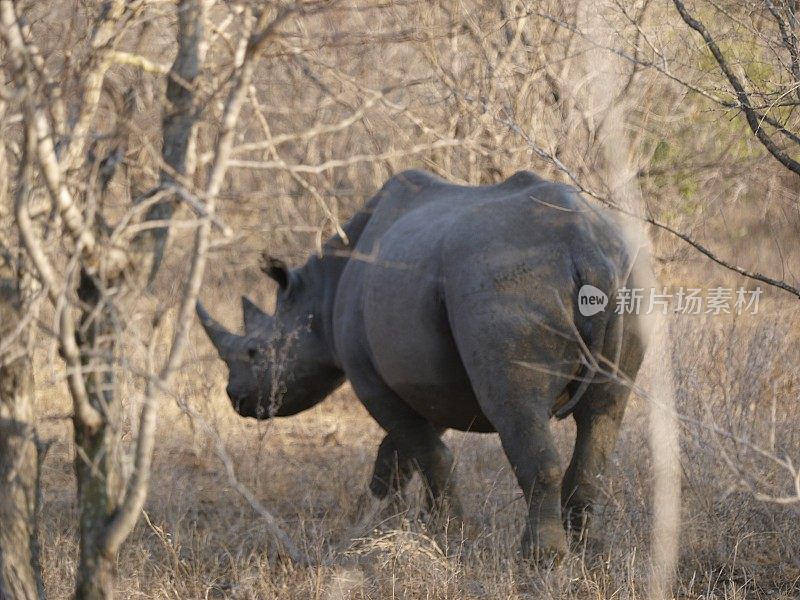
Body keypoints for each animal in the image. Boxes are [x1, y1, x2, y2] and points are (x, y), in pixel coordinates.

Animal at [197, 169, 648, 556]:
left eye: (254, 352)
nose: (236, 397)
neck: (317, 298)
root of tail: (584, 245)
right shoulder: (428, 377)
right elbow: (404, 449)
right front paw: (381, 520)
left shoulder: (370, 377)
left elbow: (425, 450)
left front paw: (450, 532)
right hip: (627, 277)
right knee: (605, 410)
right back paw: (589, 552)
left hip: (506, 284)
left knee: (516, 405)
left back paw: (540, 560)